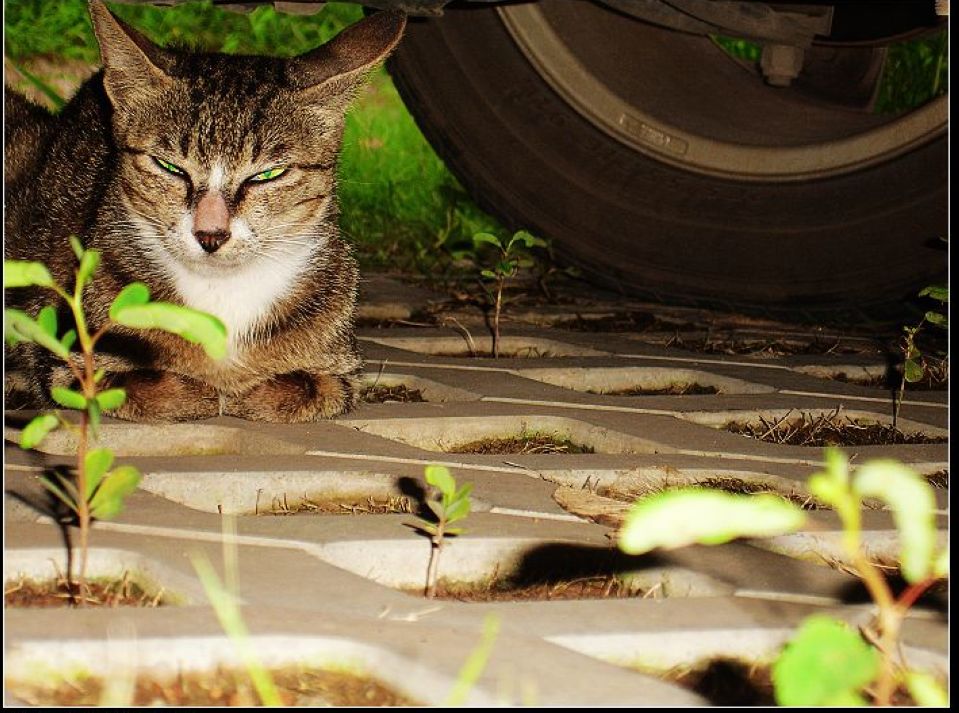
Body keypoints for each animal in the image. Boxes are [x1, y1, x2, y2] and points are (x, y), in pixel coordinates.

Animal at [2, 0, 404, 422]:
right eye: (170, 167)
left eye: (268, 174)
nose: (210, 234)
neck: (222, 293)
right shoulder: (68, 358)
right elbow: (154, 386)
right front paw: (209, 390)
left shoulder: (340, 369)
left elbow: (308, 387)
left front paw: (246, 391)